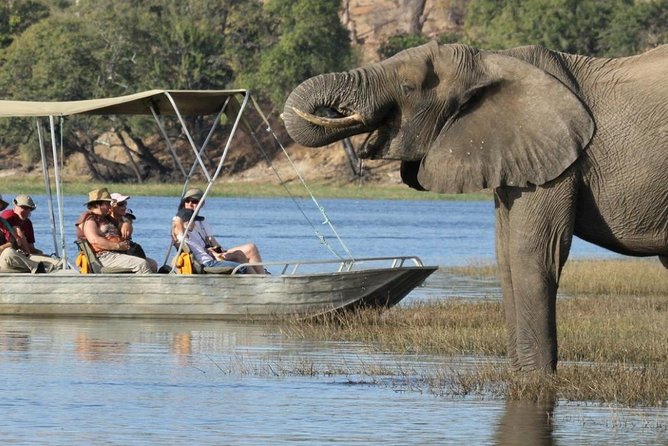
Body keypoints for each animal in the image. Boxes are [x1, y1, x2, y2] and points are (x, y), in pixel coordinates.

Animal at [282, 42, 668, 373]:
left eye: (408, 87)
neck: (491, 61)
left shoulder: (559, 160)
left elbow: (532, 252)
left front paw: (535, 378)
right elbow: (505, 255)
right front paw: (519, 377)